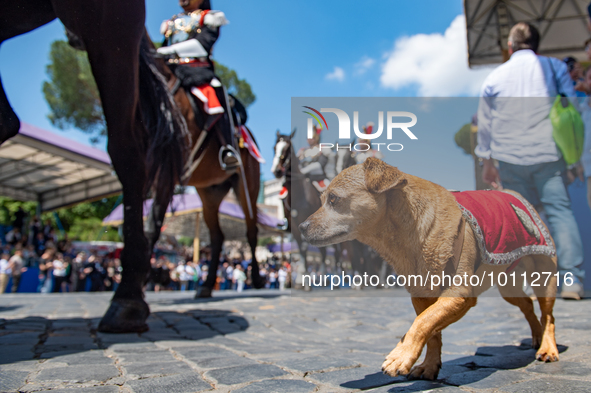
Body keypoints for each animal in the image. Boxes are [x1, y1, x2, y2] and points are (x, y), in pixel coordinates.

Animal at [151, 49, 264, 296]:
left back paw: (257, 279)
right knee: (217, 236)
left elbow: (151, 224)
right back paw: (206, 284)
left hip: (248, 190)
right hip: (209, 194)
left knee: (251, 232)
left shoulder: (166, 173)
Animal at [300, 157, 560, 380]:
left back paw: (548, 347)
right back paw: (536, 336)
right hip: (509, 287)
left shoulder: (458, 295)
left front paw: (401, 355)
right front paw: (428, 366)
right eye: (321, 200)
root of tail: (515, 194)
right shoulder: (422, 296)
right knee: (528, 306)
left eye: (334, 199)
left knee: (548, 315)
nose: (300, 227)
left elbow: (422, 323)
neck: (406, 239)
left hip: (544, 279)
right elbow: (431, 330)